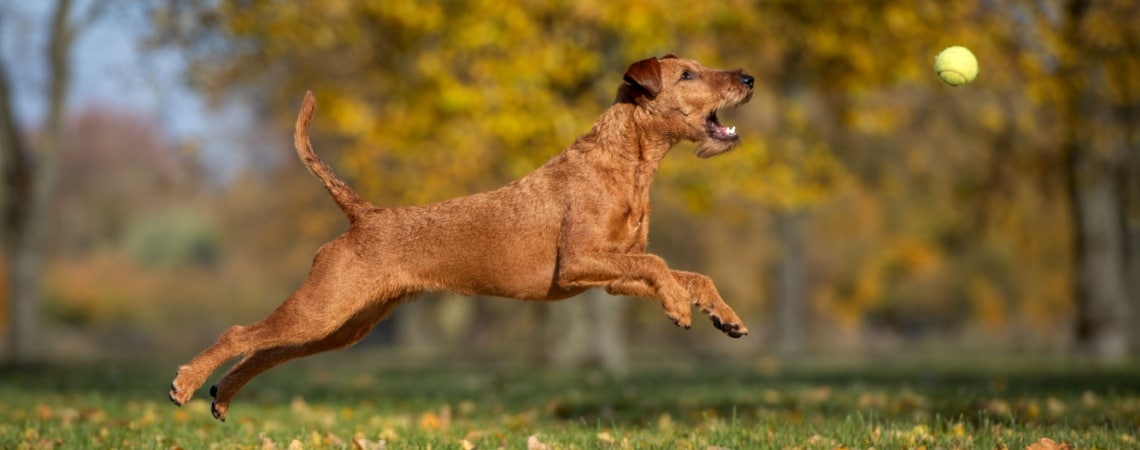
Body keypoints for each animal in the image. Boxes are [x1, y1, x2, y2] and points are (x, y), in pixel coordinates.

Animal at [168, 54, 752, 421]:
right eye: (687, 73)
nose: (747, 78)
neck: (627, 163)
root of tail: (365, 215)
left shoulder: (609, 274)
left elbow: (690, 272)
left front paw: (724, 316)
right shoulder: (581, 261)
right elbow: (661, 266)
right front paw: (677, 307)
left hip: (342, 324)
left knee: (268, 351)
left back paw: (221, 397)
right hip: (323, 308)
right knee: (241, 333)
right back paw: (187, 383)